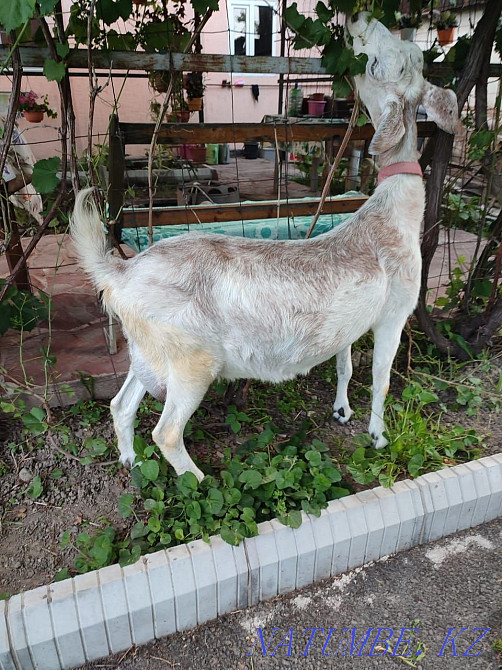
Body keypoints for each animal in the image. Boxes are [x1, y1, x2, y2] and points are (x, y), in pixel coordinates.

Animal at [71, 13, 459, 482]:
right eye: (391, 60)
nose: (359, 19)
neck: (389, 213)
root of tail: (120, 272)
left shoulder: (351, 322)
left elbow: (345, 364)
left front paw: (342, 411)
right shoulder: (394, 313)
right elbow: (381, 378)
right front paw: (378, 436)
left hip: (146, 351)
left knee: (120, 402)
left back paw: (130, 459)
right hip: (191, 361)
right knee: (166, 432)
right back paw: (200, 481)